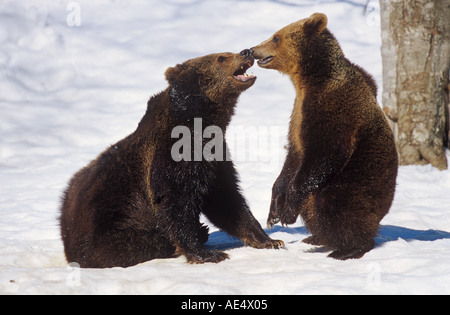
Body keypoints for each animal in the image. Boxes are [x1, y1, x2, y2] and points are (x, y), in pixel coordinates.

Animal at [59, 51, 284, 270]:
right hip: (110, 223)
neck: (201, 123)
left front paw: (270, 240)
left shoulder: (214, 157)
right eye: (221, 57)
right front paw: (209, 254)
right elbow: (176, 203)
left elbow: (227, 199)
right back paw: (198, 232)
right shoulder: (172, 157)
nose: (247, 52)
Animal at [251, 12, 400, 262]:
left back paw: (347, 248)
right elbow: (292, 158)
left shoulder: (332, 107)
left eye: (276, 37)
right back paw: (316, 237)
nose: (252, 50)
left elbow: (324, 153)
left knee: (335, 205)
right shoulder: (298, 114)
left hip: (358, 183)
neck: (309, 79)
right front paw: (273, 213)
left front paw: (287, 213)